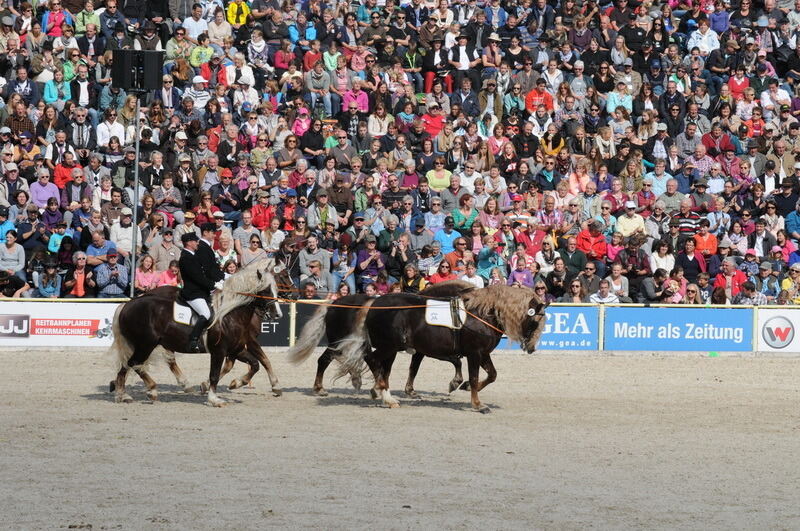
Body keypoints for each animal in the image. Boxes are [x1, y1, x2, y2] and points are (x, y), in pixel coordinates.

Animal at [108, 258, 290, 408]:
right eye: (265, 290)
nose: (277, 314)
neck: (230, 314)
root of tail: (127, 305)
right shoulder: (220, 351)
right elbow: (215, 374)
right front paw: (214, 398)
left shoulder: (236, 349)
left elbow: (256, 364)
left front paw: (237, 383)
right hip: (146, 344)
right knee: (134, 363)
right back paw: (151, 390)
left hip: (143, 344)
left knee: (127, 366)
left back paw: (123, 395)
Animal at [290, 282, 478, 400]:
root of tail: (334, 304)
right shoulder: (427, 350)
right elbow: (445, 362)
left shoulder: (414, 350)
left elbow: (410, 368)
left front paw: (407, 391)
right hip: (339, 342)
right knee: (326, 360)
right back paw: (321, 388)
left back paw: (357, 380)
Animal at [334, 284, 548, 414]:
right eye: (535, 322)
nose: (531, 348)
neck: (482, 314)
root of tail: (375, 303)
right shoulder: (474, 353)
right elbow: (475, 376)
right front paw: (478, 404)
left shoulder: (483, 353)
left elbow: (492, 375)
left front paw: (466, 386)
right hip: (388, 346)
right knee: (372, 360)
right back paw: (380, 389)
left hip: (391, 349)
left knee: (383, 368)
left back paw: (386, 396)